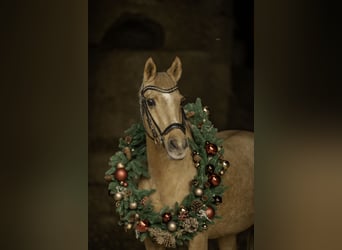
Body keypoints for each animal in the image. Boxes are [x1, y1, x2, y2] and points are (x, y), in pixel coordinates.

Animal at [138, 57, 252, 250]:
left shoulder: (198, 238)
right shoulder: (151, 240)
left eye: (181, 101)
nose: (178, 145)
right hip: (228, 234)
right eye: (151, 101)